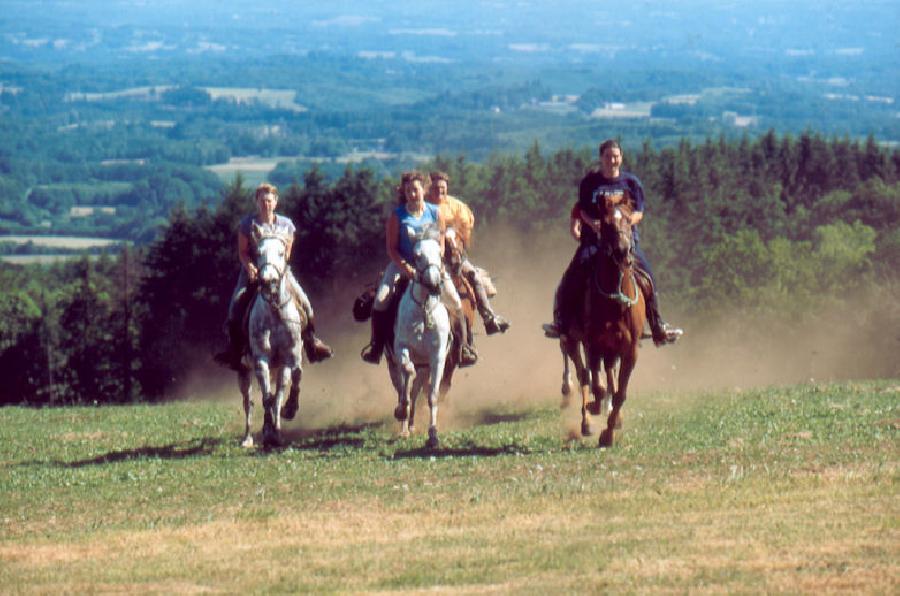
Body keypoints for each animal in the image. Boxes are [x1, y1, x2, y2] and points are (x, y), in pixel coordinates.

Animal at [237, 224, 304, 448]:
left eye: (282, 253)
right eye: (258, 253)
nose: (268, 281)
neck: (274, 312)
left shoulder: (287, 359)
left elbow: (278, 395)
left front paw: (277, 431)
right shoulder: (261, 360)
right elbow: (267, 398)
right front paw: (268, 432)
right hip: (243, 371)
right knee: (248, 402)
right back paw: (248, 438)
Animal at [390, 228, 454, 448]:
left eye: (440, 255)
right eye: (417, 256)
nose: (435, 284)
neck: (424, 310)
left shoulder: (437, 358)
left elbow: (432, 395)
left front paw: (433, 434)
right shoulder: (401, 347)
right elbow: (407, 373)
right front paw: (401, 410)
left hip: (425, 367)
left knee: (415, 390)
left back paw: (410, 425)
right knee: (404, 385)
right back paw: (403, 426)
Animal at [564, 196, 648, 448]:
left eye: (629, 220)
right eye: (606, 223)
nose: (622, 251)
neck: (615, 301)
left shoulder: (629, 350)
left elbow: (620, 393)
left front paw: (609, 434)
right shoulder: (593, 344)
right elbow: (598, 385)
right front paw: (595, 408)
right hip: (572, 341)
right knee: (583, 375)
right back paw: (587, 421)